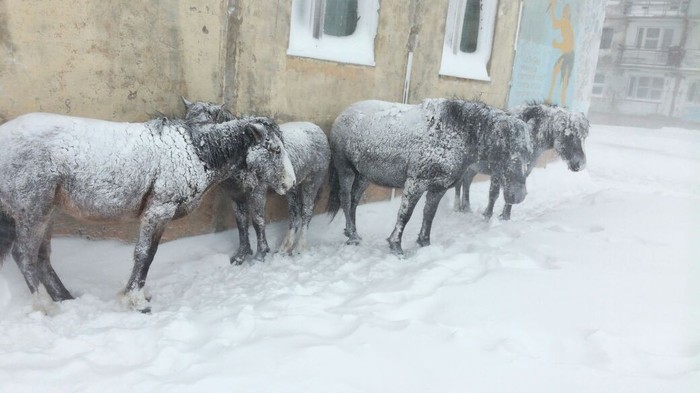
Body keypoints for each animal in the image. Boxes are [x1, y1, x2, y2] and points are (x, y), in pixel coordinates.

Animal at [0, 110, 294, 310]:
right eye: (275, 150)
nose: (289, 183)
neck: (194, 152)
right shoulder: (159, 210)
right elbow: (145, 254)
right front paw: (136, 299)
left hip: (47, 212)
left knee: (42, 258)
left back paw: (65, 298)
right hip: (33, 212)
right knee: (24, 256)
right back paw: (46, 306)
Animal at [183, 98, 330, 264]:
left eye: (204, 126)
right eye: (186, 122)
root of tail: (317, 130)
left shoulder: (257, 193)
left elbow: (257, 221)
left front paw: (261, 255)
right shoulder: (236, 196)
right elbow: (241, 223)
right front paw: (241, 255)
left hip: (312, 183)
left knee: (306, 212)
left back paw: (299, 248)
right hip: (292, 189)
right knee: (294, 213)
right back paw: (285, 247)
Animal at [328, 99, 532, 254]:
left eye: (529, 153)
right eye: (508, 150)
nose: (519, 195)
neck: (453, 135)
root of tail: (344, 113)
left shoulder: (438, 188)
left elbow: (429, 214)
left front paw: (424, 243)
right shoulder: (415, 184)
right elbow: (405, 215)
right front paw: (396, 247)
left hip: (364, 176)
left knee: (354, 201)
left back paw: (352, 232)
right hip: (345, 170)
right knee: (345, 199)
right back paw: (352, 237)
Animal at [454, 101, 592, 219]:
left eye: (584, 137)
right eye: (569, 135)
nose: (581, 164)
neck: (527, 136)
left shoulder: (523, 172)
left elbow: (514, 194)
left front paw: (505, 217)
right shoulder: (497, 172)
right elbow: (494, 194)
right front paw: (487, 216)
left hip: (472, 168)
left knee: (466, 182)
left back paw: (466, 208)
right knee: (459, 184)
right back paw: (458, 208)